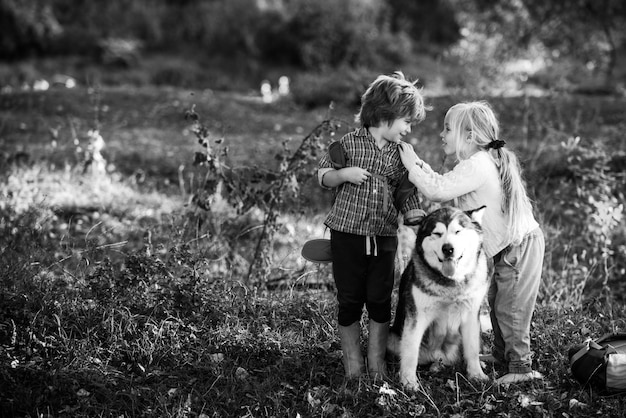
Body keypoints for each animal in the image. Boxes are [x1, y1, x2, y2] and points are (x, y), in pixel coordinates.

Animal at [388, 206, 490, 388]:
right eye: (437, 233)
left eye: (457, 231)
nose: (448, 248)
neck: (451, 283)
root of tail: (440, 357)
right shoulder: (417, 316)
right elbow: (411, 351)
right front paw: (408, 381)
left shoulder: (471, 315)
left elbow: (472, 349)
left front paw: (477, 374)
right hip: (392, 337)